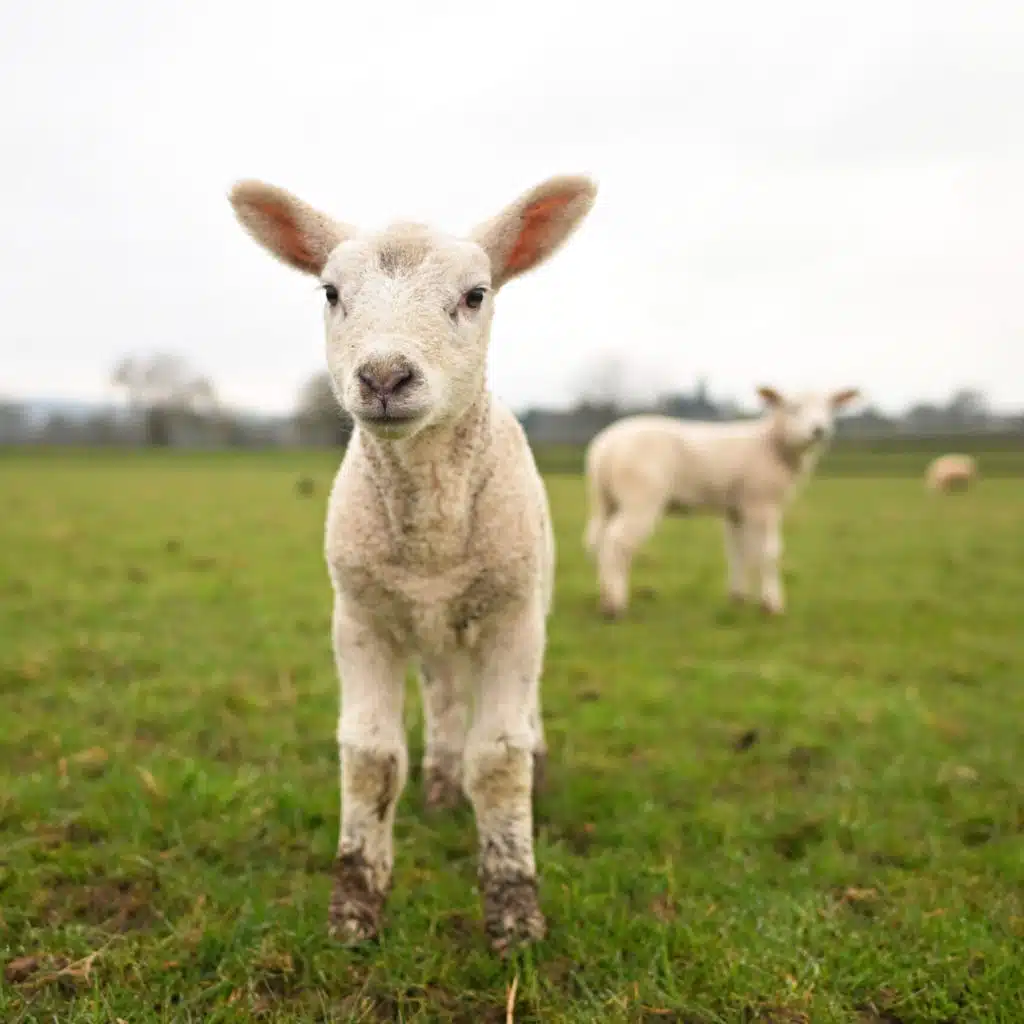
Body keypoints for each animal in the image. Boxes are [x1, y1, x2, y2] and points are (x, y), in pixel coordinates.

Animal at [228, 173, 596, 951]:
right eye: (331, 292)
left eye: (476, 295)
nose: (385, 376)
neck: (431, 535)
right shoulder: (361, 616)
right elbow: (371, 758)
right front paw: (354, 907)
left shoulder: (511, 616)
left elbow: (500, 758)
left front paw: (514, 910)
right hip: (432, 629)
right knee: (446, 698)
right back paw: (440, 785)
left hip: (525, 603)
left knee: (516, 716)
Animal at [584, 386, 860, 619]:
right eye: (793, 408)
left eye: (829, 408)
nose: (819, 430)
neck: (772, 443)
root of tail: (605, 447)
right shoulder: (762, 504)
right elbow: (768, 553)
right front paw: (772, 605)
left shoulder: (736, 509)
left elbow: (737, 551)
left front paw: (738, 598)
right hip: (641, 497)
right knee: (617, 542)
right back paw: (614, 605)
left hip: (605, 499)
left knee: (598, 540)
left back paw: (604, 595)